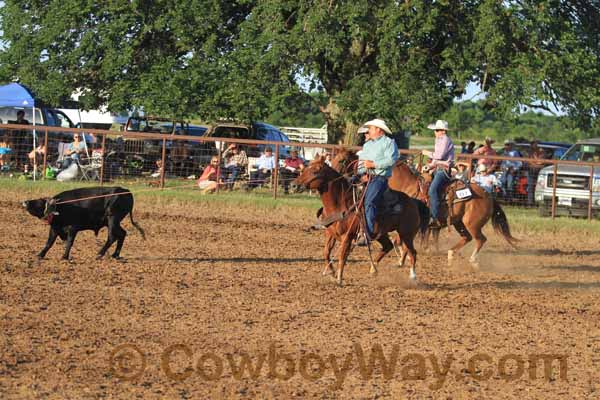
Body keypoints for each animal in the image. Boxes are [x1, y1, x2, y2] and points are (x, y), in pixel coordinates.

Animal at [296, 156, 422, 284]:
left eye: (315, 171)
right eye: (305, 168)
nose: (294, 185)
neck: (341, 203)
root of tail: (413, 201)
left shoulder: (347, 236)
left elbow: (342, 256)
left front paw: (339, 278)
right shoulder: (330, 233)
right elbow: (326, 252)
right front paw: (332, 272)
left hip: (407, 234)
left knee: (412, 252)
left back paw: (413, 276)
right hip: (380, 233)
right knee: (388, 246)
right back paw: (373, 269)